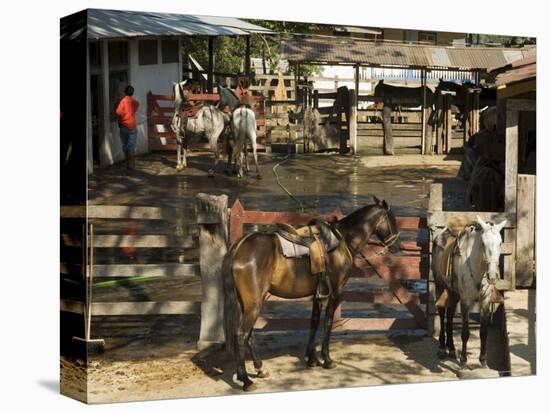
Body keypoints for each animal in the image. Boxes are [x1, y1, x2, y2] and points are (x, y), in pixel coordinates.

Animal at [222, 196, 404, 390]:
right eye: (392, 219)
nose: (398, 246)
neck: (342, 241)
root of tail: (238, 247)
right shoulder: (335, 293)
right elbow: (328, 323)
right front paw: (327, 359)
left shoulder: (318, 294)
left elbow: (314, 322)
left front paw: (312, 358)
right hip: (254, 304)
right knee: (241, 335)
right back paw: (245, 379)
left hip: (248, 303)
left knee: (250, 335)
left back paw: (259, 369)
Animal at [434, 216, 506, 370]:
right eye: (483, 243)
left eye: (500, 242)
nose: (492, 276)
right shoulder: (466, 301)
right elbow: (465, 332)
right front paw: (463, 361)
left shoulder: (485, 301)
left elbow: (483, 331)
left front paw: (483, 361)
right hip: (439, 286)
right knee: (442, 314)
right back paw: (442, 349)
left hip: (453, 293)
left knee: (450, 315)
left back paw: (452, 349)